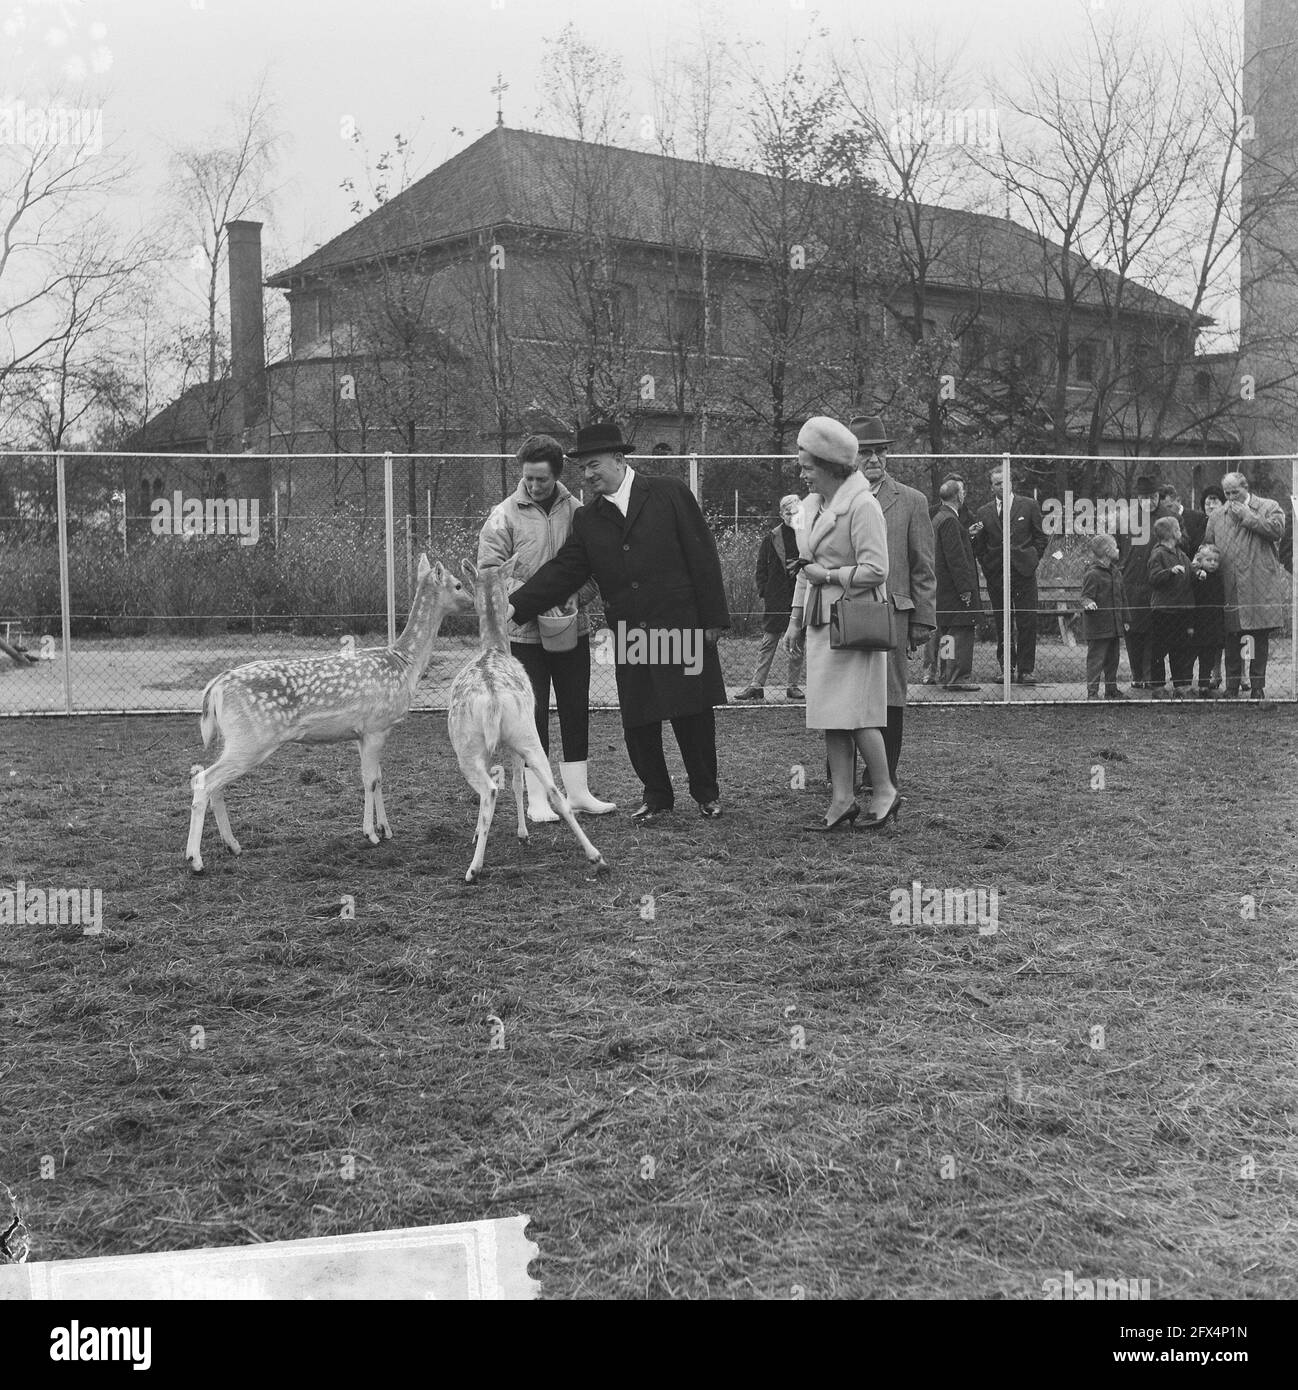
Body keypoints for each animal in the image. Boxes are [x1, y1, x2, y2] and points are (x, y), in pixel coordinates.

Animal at [184, 550, 475, 867]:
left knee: (216, 785)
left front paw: (385, 829)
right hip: (251, 739)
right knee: (203, 780)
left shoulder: (363, 733)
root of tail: (215, 687)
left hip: (234, 739)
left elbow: (378, 778)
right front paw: (370, 834)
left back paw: (233, 845)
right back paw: (195, 859)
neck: (404, 664)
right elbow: (370, 780)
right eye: (459, 584)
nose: (473, 601)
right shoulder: (376, 726)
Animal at [450, 558, 611, 884]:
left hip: (468, 747)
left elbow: (512, 783)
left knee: (490, 790)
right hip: (527, 734)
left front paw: (518, 834)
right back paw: (597, 858)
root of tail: (494, 699)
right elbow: (519, 782)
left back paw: (474, 868)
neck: (494, 647)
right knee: (555, 792)